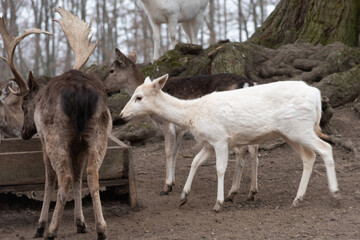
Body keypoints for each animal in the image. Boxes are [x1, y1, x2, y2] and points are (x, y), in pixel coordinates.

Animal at [0, 7, 111, 240]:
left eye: (24, 106)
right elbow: (78, 177)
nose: (24, 132)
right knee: (91, 173)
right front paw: (81, 223)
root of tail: (81, 92)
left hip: (55, 135)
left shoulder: (43, 141)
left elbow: (49, 179)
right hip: (99, 131)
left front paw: (40, 226)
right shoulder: (78, 146)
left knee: (64, 176)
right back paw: (101, 228)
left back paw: (51, 230)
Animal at [102, 48, 260, 202]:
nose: (104, 88)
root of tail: (249, 83)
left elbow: (168, 151)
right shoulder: (180, 129)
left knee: (242, 150)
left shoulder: (168, 125)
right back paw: (251, 192)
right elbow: (175, 151)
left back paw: (233, 192)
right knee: (253, 149)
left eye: (112, 70)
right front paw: (172, 182)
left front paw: (166, 186)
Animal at [120, 74, 340, 211]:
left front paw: (219, 202)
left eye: (139, 97)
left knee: (326, 148)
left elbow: (220, 168)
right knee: (309, 157)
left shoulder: (220, 139)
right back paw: (297, 199)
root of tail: (317, 96)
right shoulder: (209, 143)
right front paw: (183, 197)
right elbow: (194, 162)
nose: (122, 114)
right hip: (291, 133)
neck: (193, 114)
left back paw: (335, 193)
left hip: (300, 129)